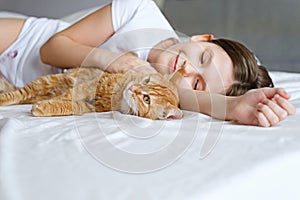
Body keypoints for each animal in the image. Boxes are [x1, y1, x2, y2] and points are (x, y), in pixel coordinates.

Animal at [0, 68, 183, 119]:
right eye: (146, 81)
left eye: (146, 99)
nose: (133, 88)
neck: (116, 98)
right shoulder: (90, 86)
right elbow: (68, 96)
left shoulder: (91, 107)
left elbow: (69, 106)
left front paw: (46, 107)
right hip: (46, 81)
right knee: (19, 94)